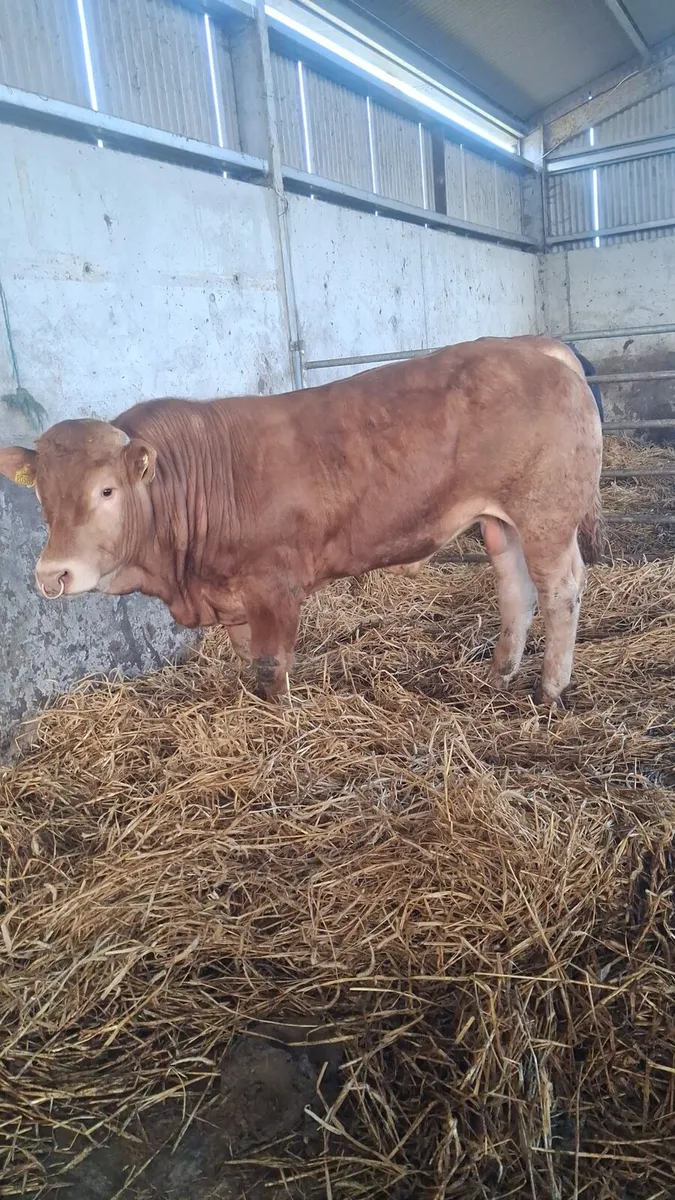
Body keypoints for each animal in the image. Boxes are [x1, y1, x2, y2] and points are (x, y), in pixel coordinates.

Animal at [0, 337, 602, 707]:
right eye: (42, 496)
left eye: (106, 490)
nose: (53, 575)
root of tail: (533, 345)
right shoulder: (234, 596)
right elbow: (250, 662)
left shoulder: (275, 585)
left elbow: (272, 664)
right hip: (501, 521)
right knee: (516, 589)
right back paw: (499, 674)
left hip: (546, 514)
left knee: (561, 588)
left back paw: (550, 689)